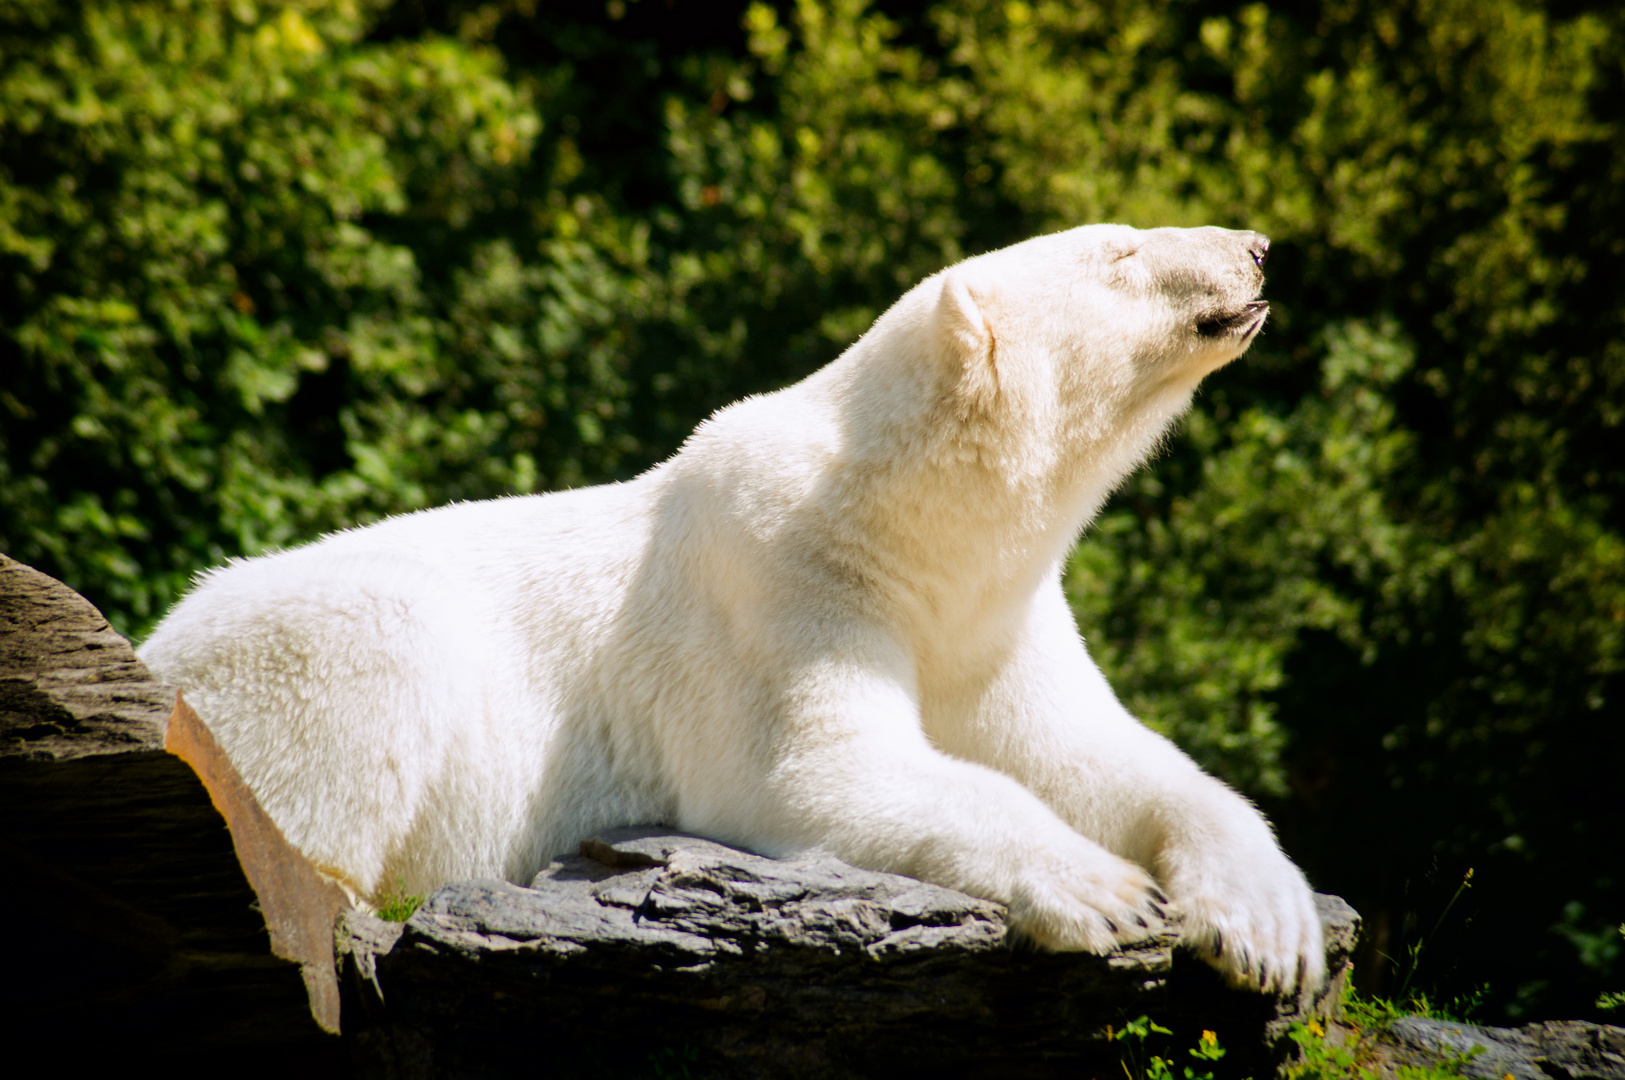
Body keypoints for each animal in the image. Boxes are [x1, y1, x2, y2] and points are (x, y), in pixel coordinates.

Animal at [143, 222, 1319, 987]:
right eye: (1118, 254)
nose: (1259, 246)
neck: (900, 527)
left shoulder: (993, 620)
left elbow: (1091, 754)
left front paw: (1268, 926)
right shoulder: (777, 582)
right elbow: (813, 772)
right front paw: (1104, 890)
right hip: (286, 653)